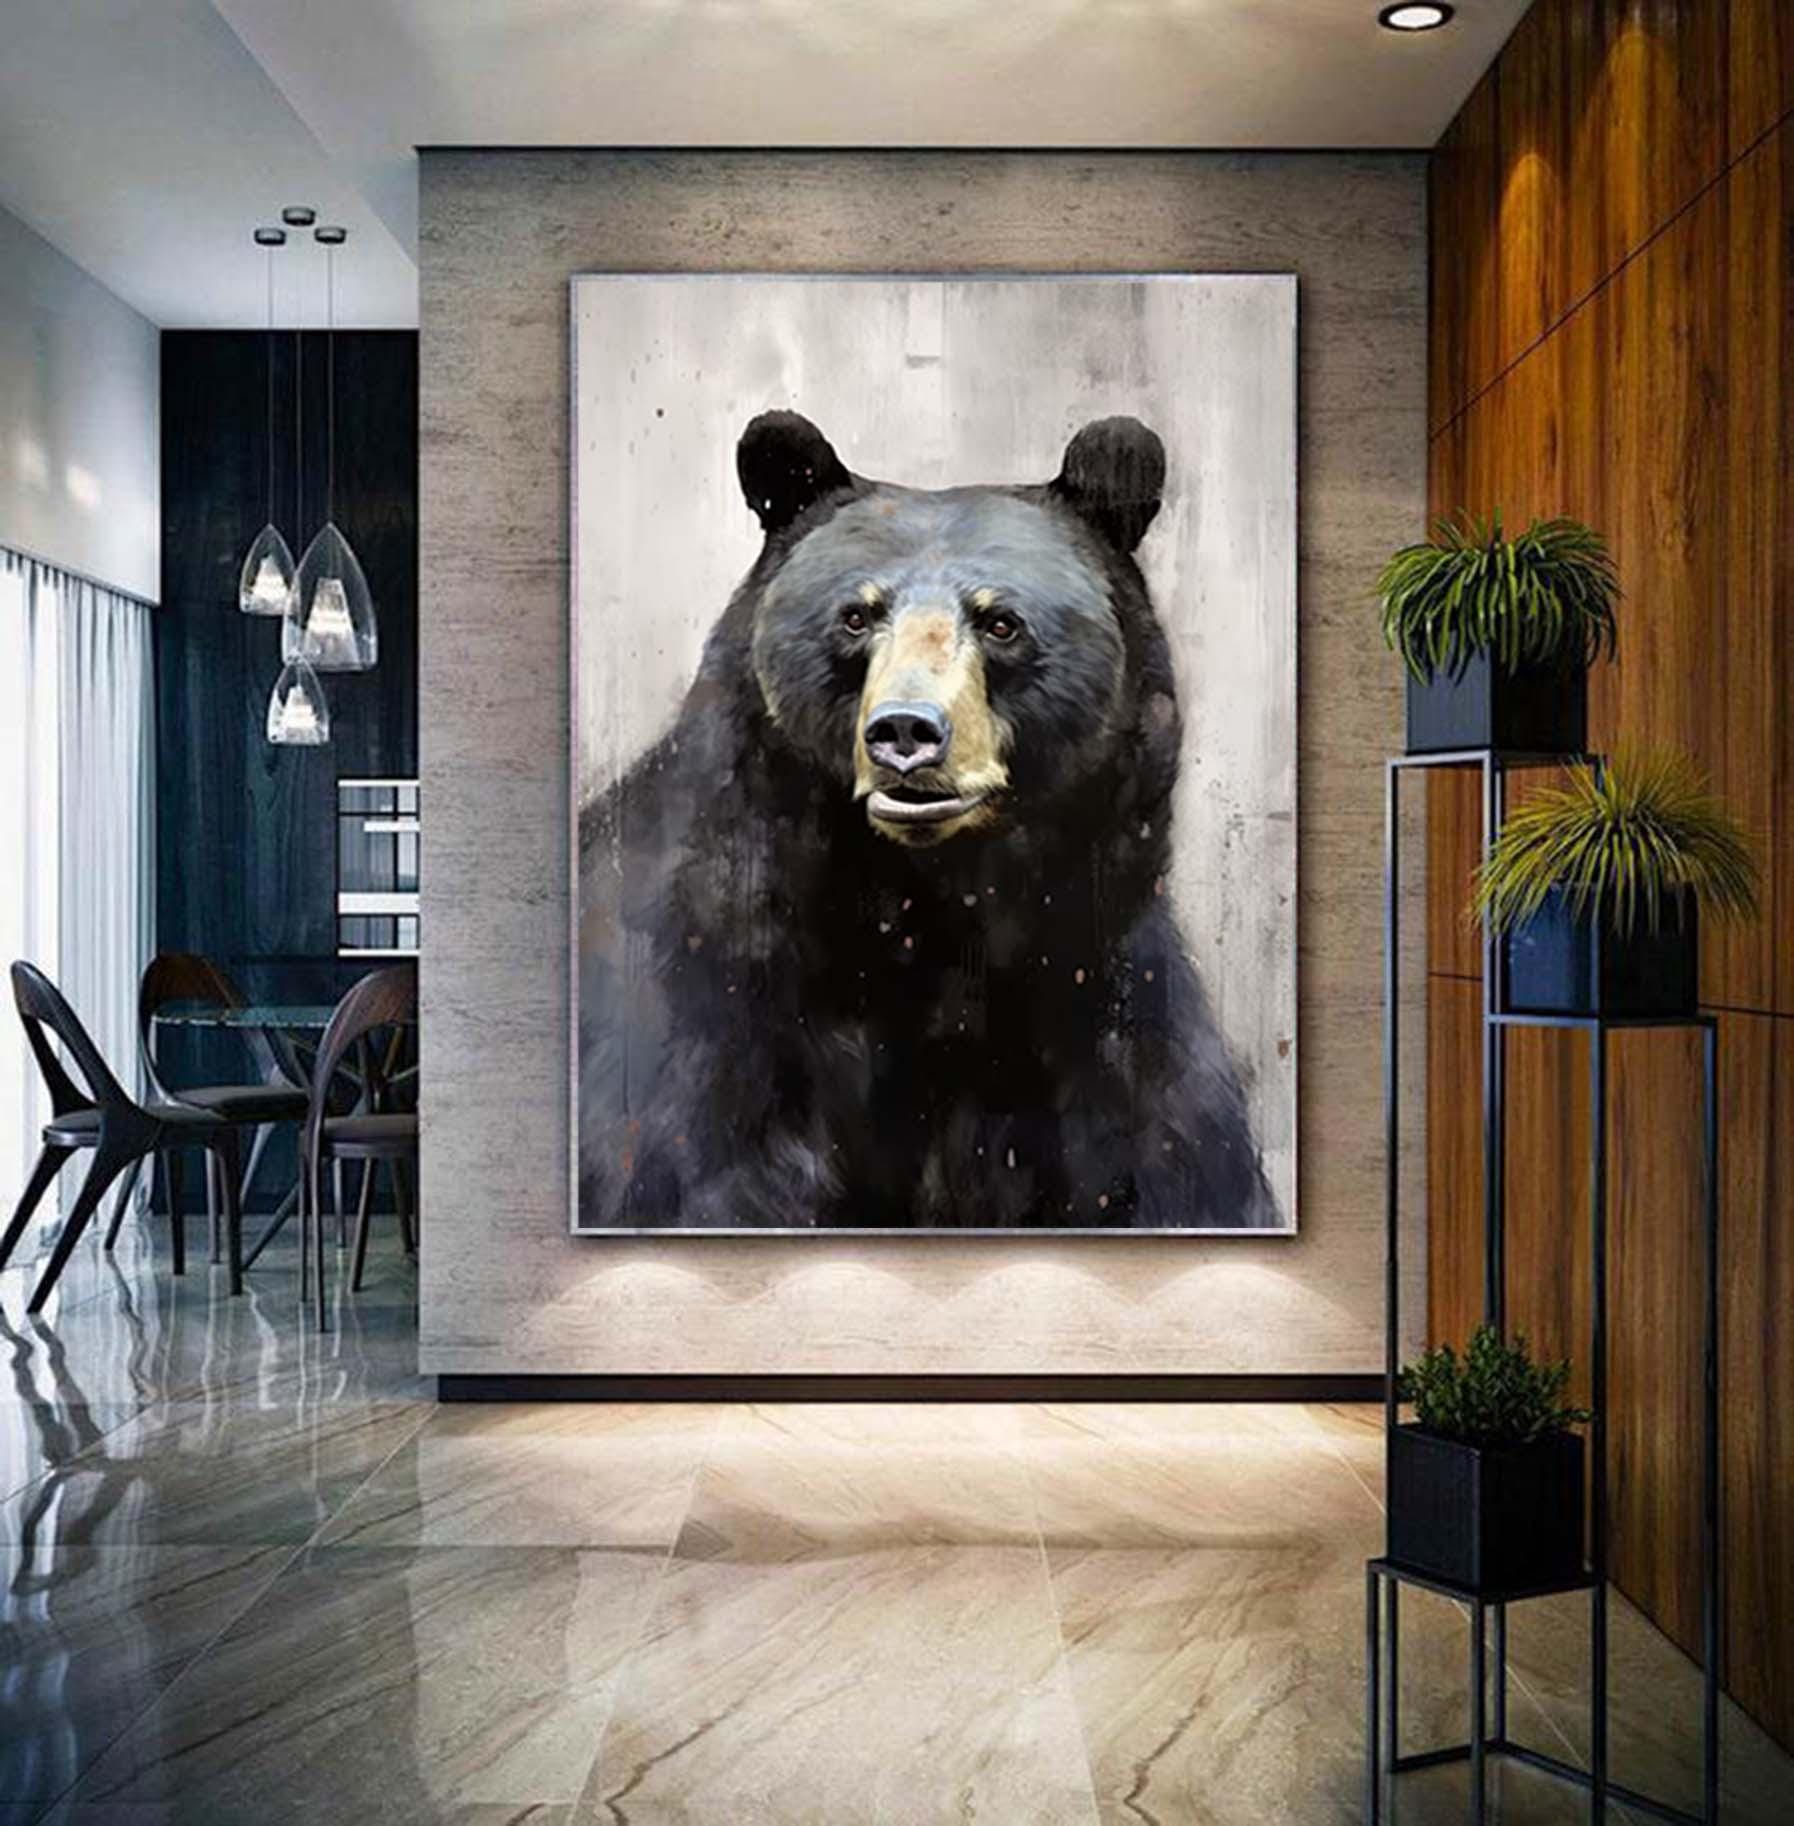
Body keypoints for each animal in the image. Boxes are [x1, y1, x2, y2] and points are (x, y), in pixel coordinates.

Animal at [576, 410, 1277, 1230]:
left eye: (1001, 622)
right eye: (856, 616)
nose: (905, 731)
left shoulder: (1113, 1026)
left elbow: (1181, 1171)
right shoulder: (704, 1031)